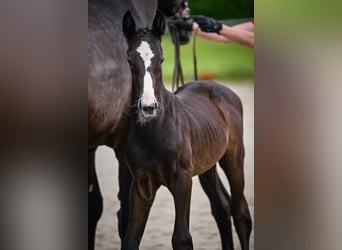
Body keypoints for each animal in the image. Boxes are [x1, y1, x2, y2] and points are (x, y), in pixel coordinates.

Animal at [87, 0, 190, 249]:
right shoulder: (123, 149)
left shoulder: (91, 147)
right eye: (129, 61)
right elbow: (125, 219)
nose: (186, 19)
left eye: (161, 59)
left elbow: (93, 206)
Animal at [122, 10, 251, 250]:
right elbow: (131, 239)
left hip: (234, 158)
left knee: (240, 213)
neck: (155, 131)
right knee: (221, 208)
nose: (148, 107)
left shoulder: (182, 180)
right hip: (207, 165)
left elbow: (181, 238)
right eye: (129, 59)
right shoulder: (141, 184)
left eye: (161, 59)